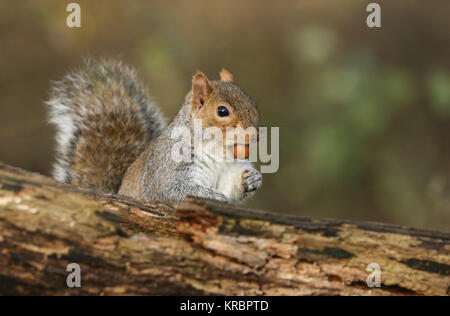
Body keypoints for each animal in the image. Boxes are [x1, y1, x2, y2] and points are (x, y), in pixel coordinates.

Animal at [47, 59, 262, 202]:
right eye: (222, 111)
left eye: (252, 102)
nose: (255, 135)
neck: (217, 148)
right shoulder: (169, 167)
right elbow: (172, 190)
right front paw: (212, 196)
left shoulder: (228, 168)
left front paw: (251, 179)